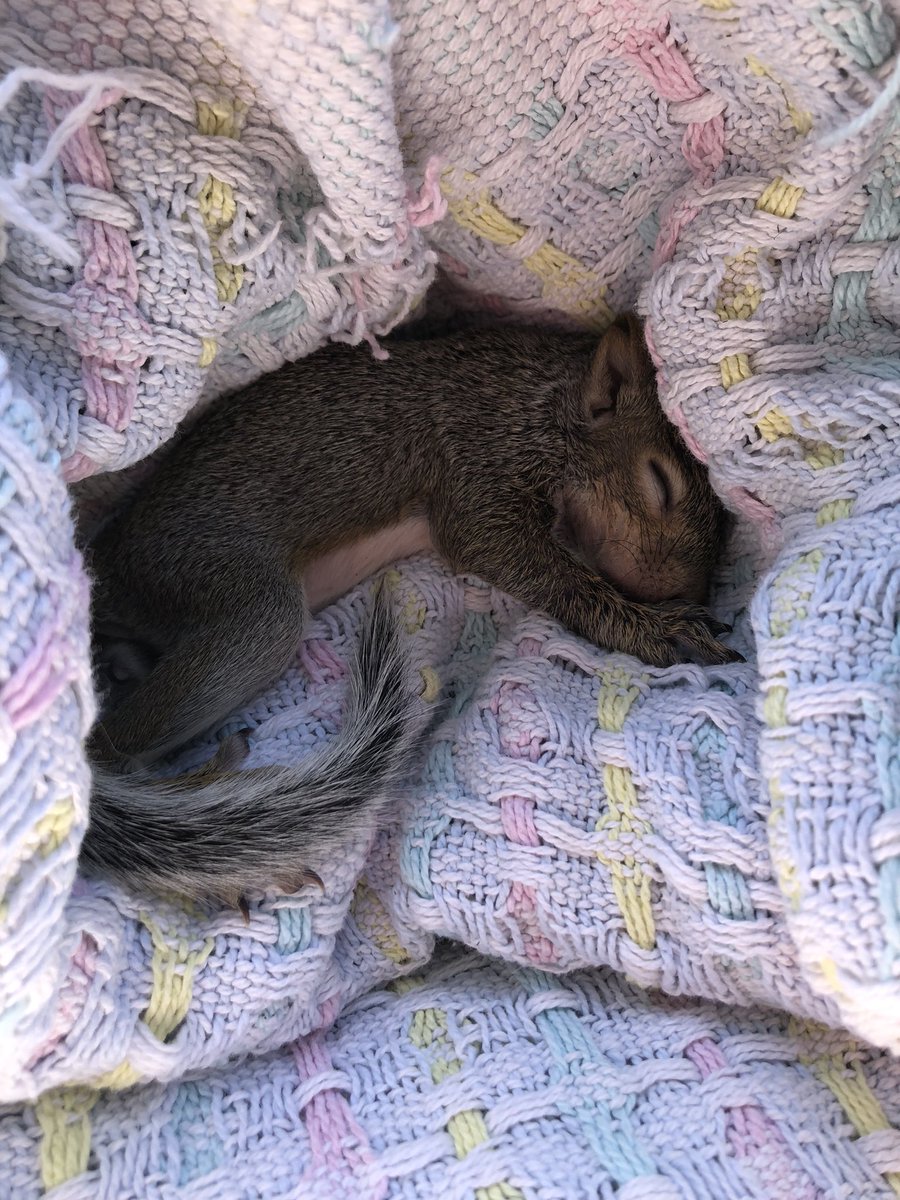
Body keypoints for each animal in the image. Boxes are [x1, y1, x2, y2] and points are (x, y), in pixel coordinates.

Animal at [80, 313, 740, 904]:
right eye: (659, 482)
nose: (687, 593)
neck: (541, 399)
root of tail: (105, 562)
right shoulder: (479, 458)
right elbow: (512, 554)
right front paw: (659, 629)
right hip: (223, 588)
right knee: (106, 750)